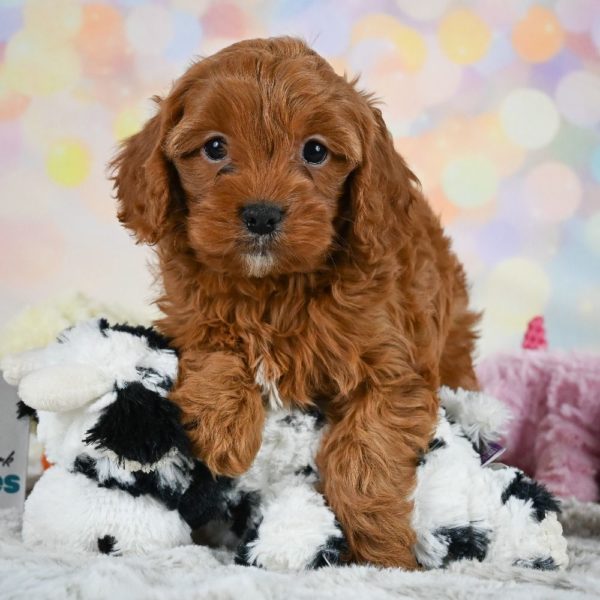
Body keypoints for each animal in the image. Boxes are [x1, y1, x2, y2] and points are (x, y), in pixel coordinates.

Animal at [111, 35, 478, 568]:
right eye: (215, 147)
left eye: (316, 151)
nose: (262, 215)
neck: (275, 287)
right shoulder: (189, 314)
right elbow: (215, 343)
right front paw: (222, 427)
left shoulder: (394, 371)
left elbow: (364, 457)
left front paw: (383, 551)